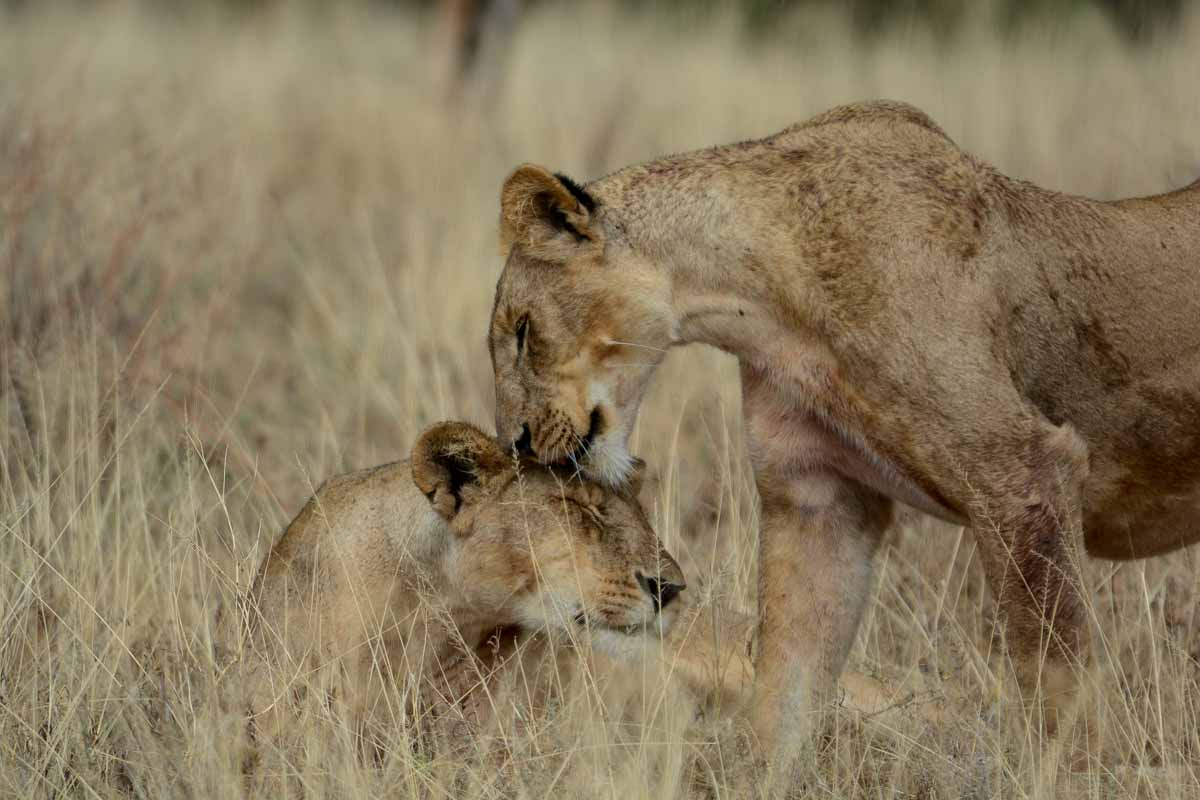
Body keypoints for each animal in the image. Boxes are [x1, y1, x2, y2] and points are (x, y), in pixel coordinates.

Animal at [487, 99, 1200, 775]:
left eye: (521, 331)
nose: (517, 442)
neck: (758, 296)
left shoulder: (1022, 471)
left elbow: (1059, 682)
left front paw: (1076, 777)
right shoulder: (818, 497)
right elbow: (783, 697)